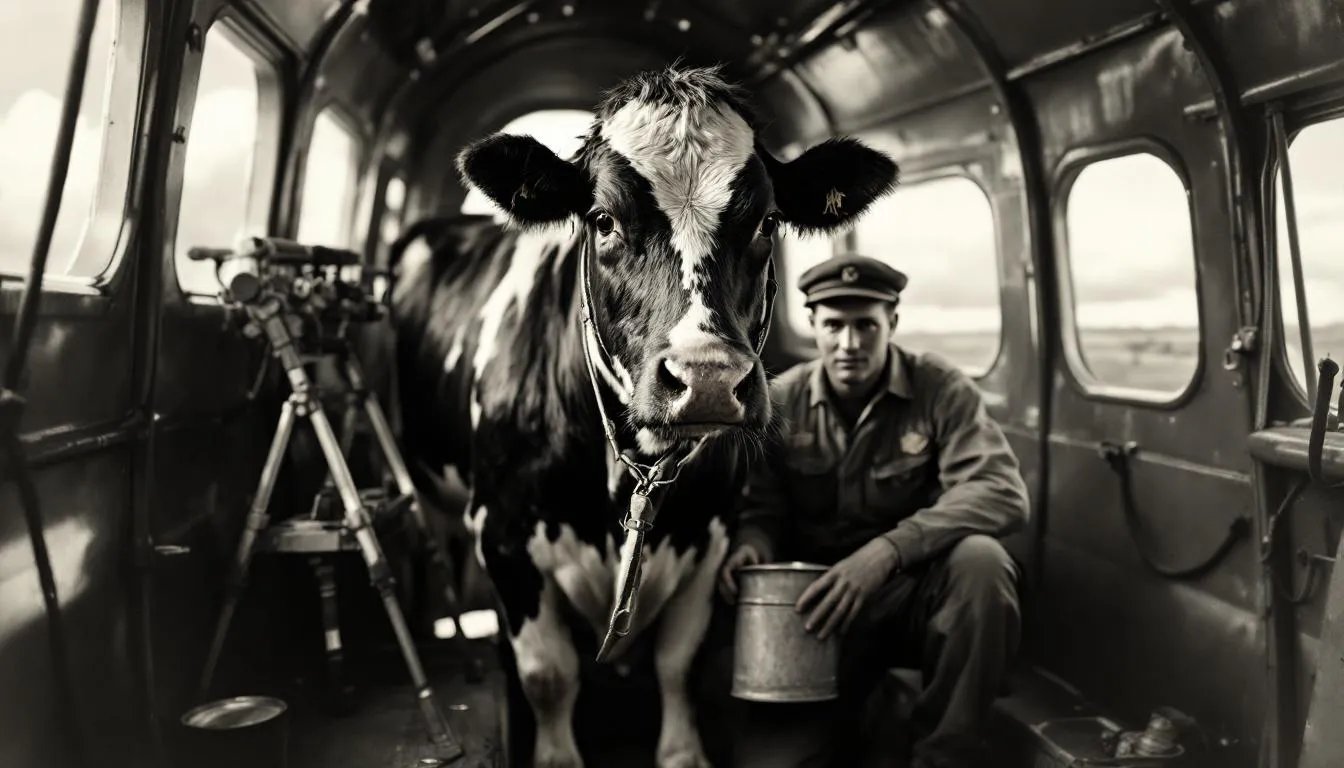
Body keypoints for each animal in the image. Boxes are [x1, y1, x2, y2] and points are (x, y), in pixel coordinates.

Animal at [391, 65, 897, 767]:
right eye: (602, 219)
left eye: (768, 221)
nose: (707, 379)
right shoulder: (504, 533)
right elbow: (550, 676)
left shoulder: (712, 537)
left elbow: (677, 665)